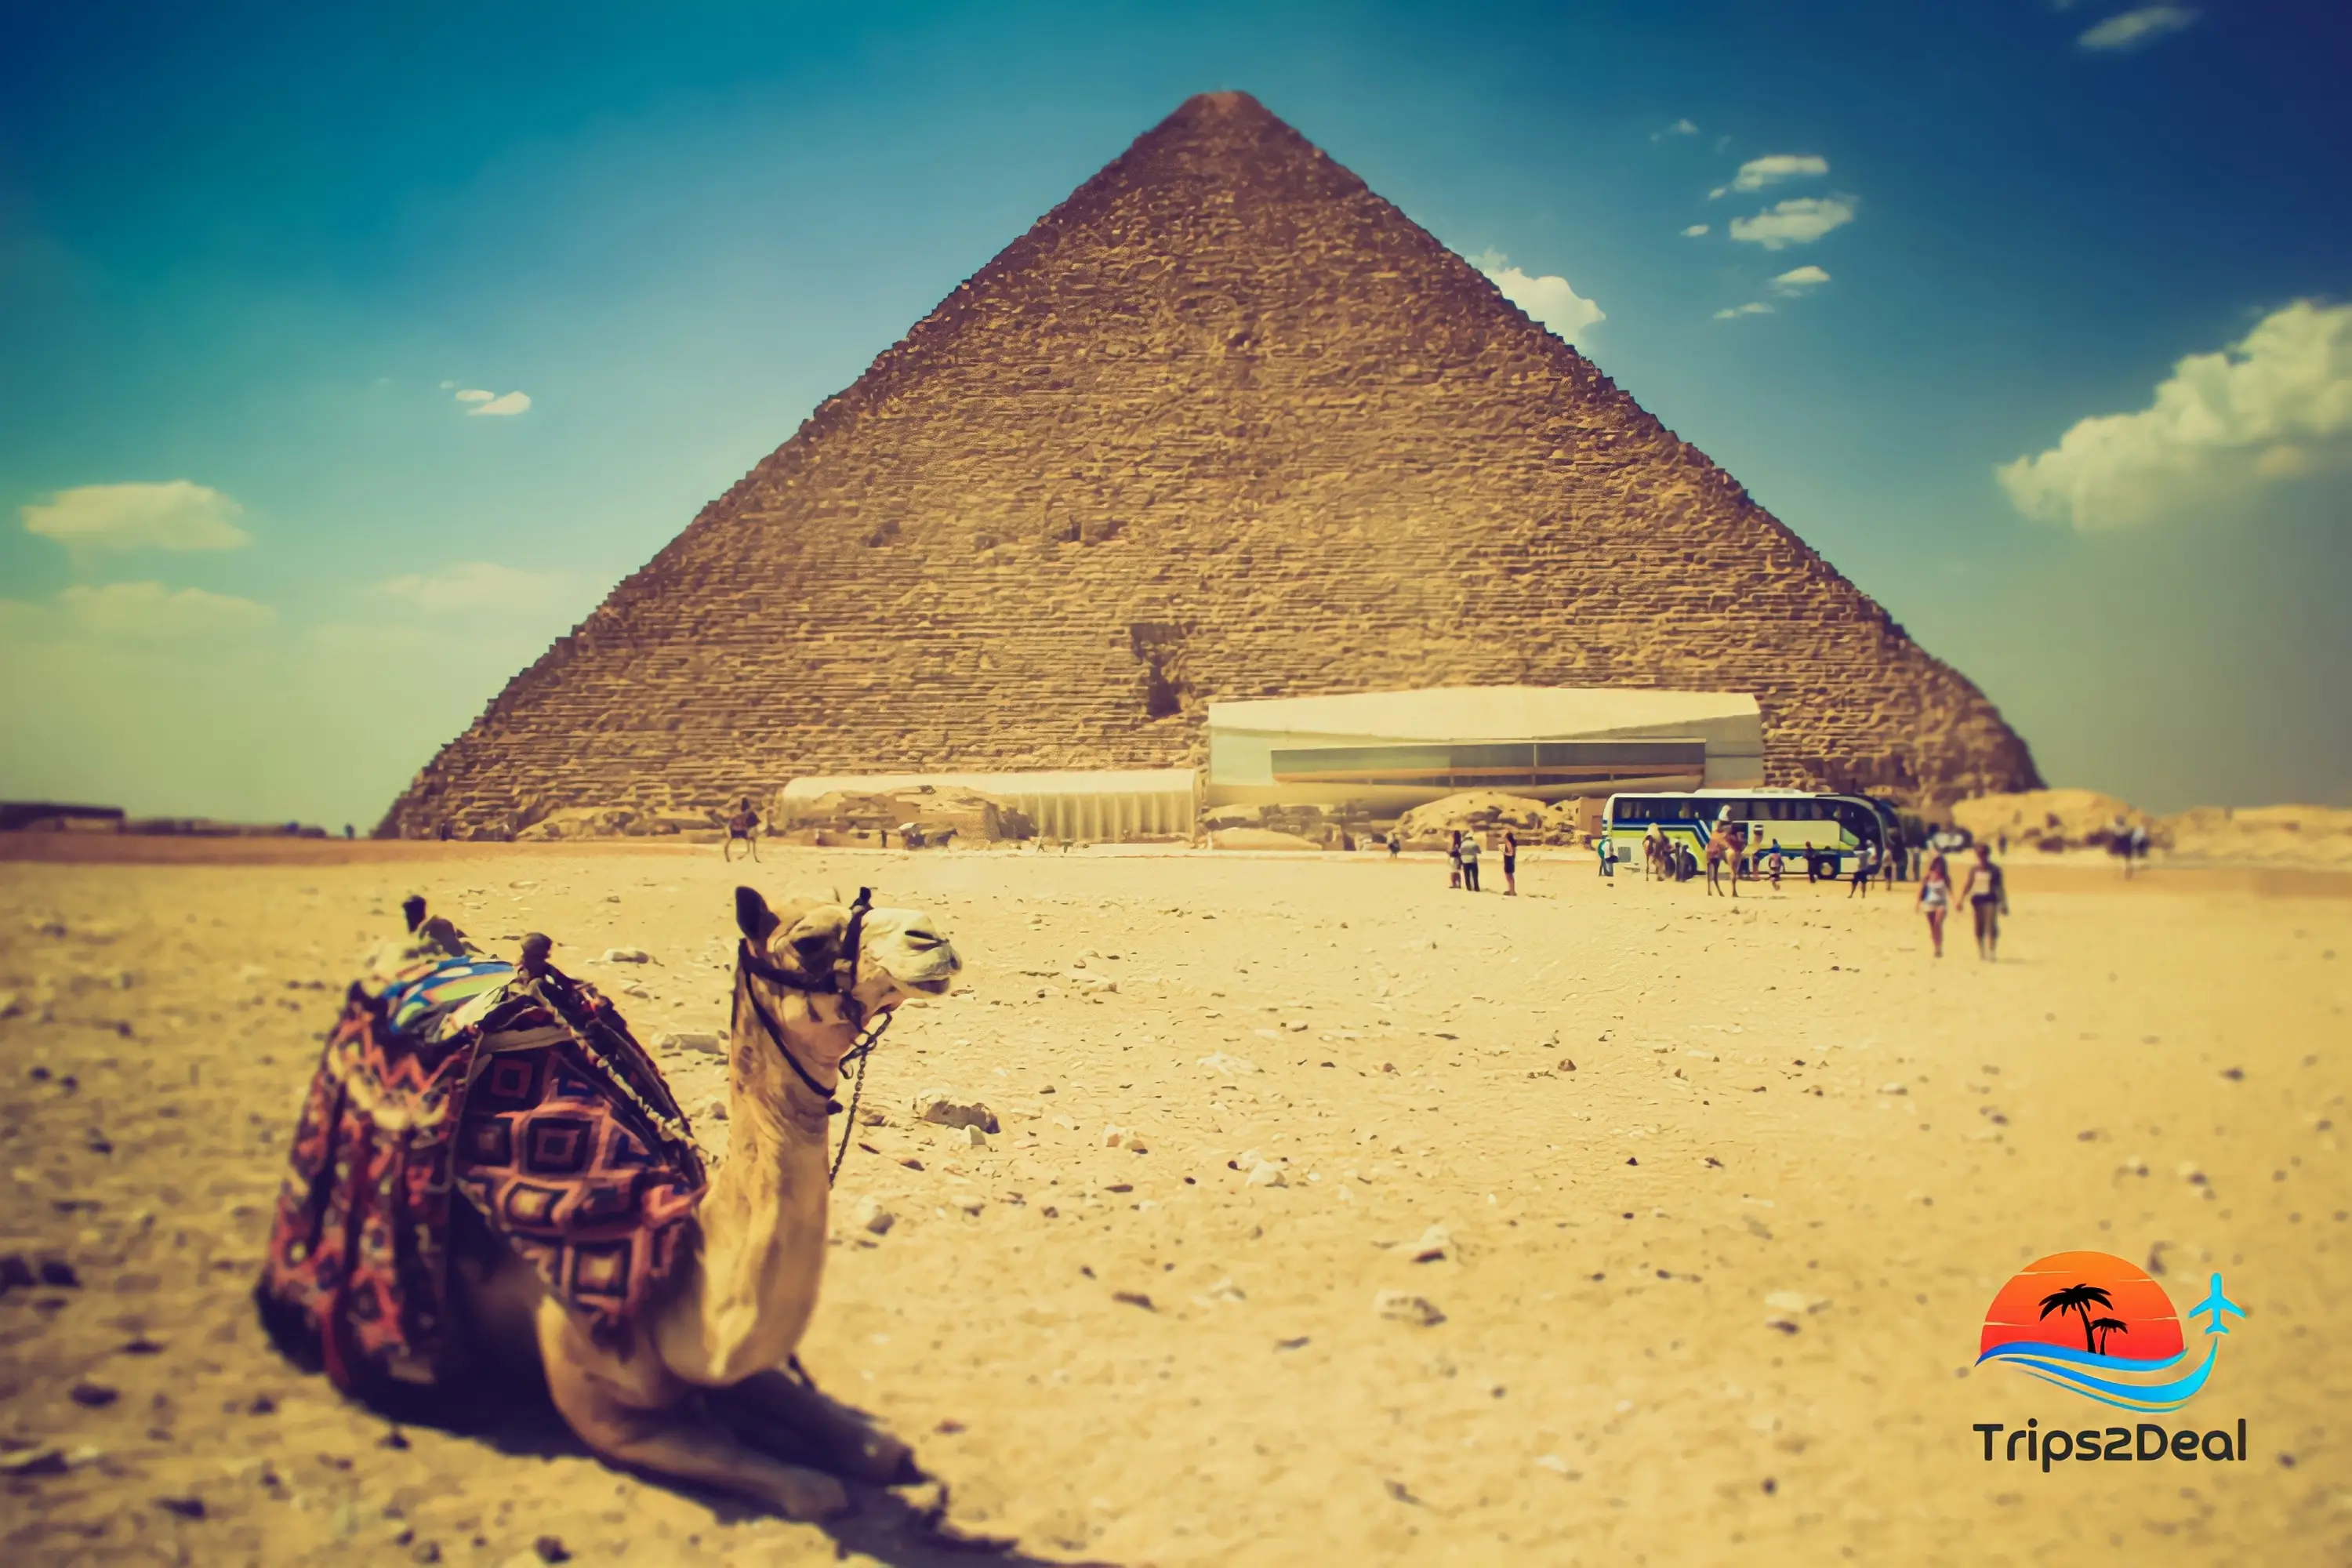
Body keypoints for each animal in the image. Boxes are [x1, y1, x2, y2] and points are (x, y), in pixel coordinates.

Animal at [449, 888, 964, 1514]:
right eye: (809, 941)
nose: (931, 936)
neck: (660, 1272)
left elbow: (879, 1448)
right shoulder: (611, 1423)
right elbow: (814, 1492)